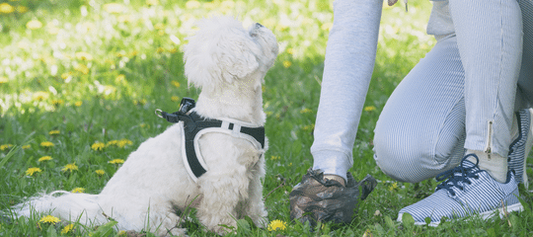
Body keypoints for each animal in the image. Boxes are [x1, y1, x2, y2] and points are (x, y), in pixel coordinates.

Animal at [11, 15, 278, 236]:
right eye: (250, 35)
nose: (259, 24)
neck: (230, 113)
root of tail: (102, 207)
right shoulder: (222, 180)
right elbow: (219, 212)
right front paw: (228, 229)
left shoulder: (253, 172)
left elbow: (254, 203)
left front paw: (259, 224)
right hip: (153, 209)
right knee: (157, 224)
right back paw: (176, 231)